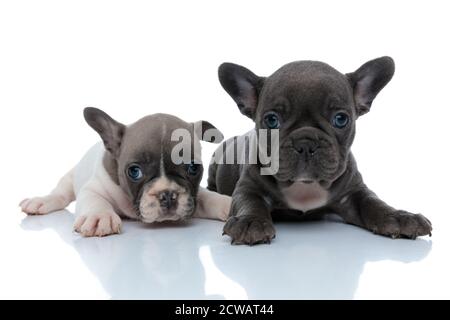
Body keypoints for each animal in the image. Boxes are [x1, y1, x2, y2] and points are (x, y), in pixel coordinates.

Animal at [20, 109, 232, 236]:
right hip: (70, 178)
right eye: (134, 171)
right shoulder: (94, 187)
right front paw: (100, 216)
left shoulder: (193, 196)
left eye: (193, 168)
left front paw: (228, 204)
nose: (167, 195)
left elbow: (207, 198)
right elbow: (94, 199)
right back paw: (40, 202)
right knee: (61, 194)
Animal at [209, 56, 434, 245]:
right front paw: (250, 222)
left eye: (341, 119)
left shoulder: (354, 192)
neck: (305, 187)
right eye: (271, 120)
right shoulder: (248, 187)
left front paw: (399, 216)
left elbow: (373, 203)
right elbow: (249, 202)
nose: (306, 143)